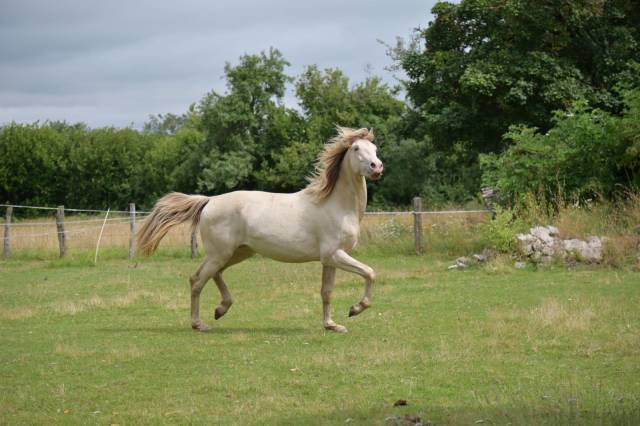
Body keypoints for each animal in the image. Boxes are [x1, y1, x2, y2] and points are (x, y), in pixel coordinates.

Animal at [136, 126, 382, 332]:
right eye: (356, 148)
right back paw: (199, 324)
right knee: (197, 280)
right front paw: (355, 309)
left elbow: (327, 292)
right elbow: (369, 272)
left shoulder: (329, 259)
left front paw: (332, 325)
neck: (336, 205)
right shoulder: (334, 254)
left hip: (238, 252)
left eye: (375, 149)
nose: (377, 167)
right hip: (220, 254)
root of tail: (210, 201)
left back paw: (221, 309)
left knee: (214, 274)